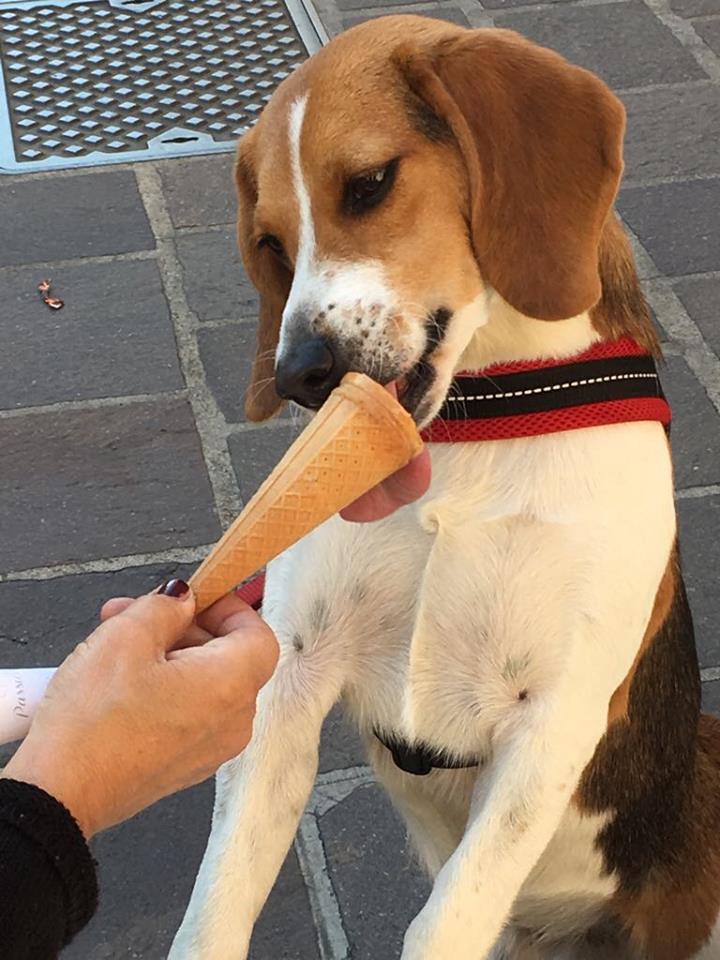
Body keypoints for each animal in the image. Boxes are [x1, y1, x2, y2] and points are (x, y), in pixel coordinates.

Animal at [170, 15, 720, 960]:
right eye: (270, 245)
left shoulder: (552, 718)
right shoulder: (290, 677)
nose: (298, 374)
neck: (481, 419)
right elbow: (215, 905)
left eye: (369, 184)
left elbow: (445, 920)